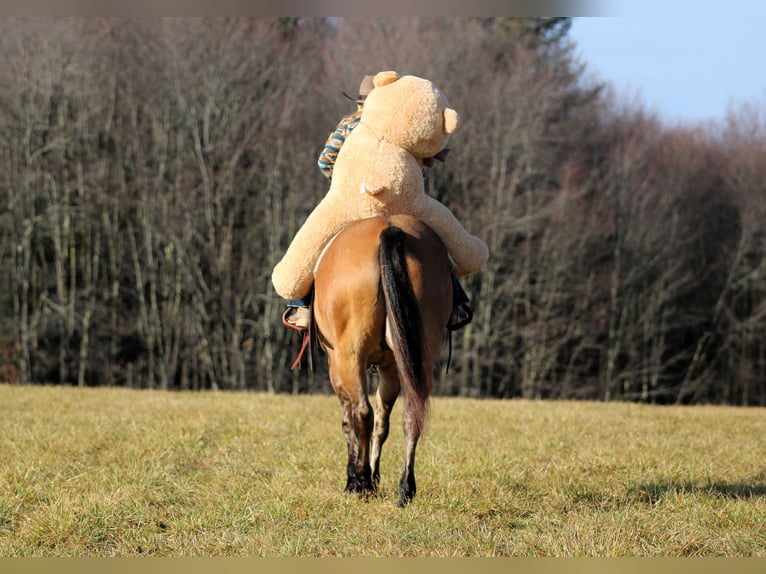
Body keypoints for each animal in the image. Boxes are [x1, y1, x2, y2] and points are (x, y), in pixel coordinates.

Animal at [312, 214, 453, 506]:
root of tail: (390, 229)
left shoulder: (336, 365)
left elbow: (349, 421)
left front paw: (356, 478)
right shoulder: (390, 366)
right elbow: (383, 422)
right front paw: (375, 475)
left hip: (350, 356)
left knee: (362, 413)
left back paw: (362, 482)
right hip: (417, 356)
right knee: (411, 415)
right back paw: (405, 487)